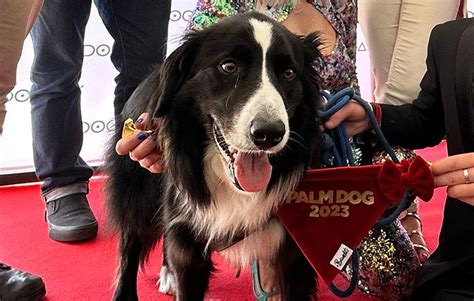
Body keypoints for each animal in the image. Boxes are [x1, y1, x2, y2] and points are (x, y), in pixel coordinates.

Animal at [106, 11, 322, 300]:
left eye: (288, 73)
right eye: (228, 67)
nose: (269, 134)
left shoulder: (295, 251)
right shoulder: (188, 245)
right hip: (137, 190)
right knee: (130, 243)